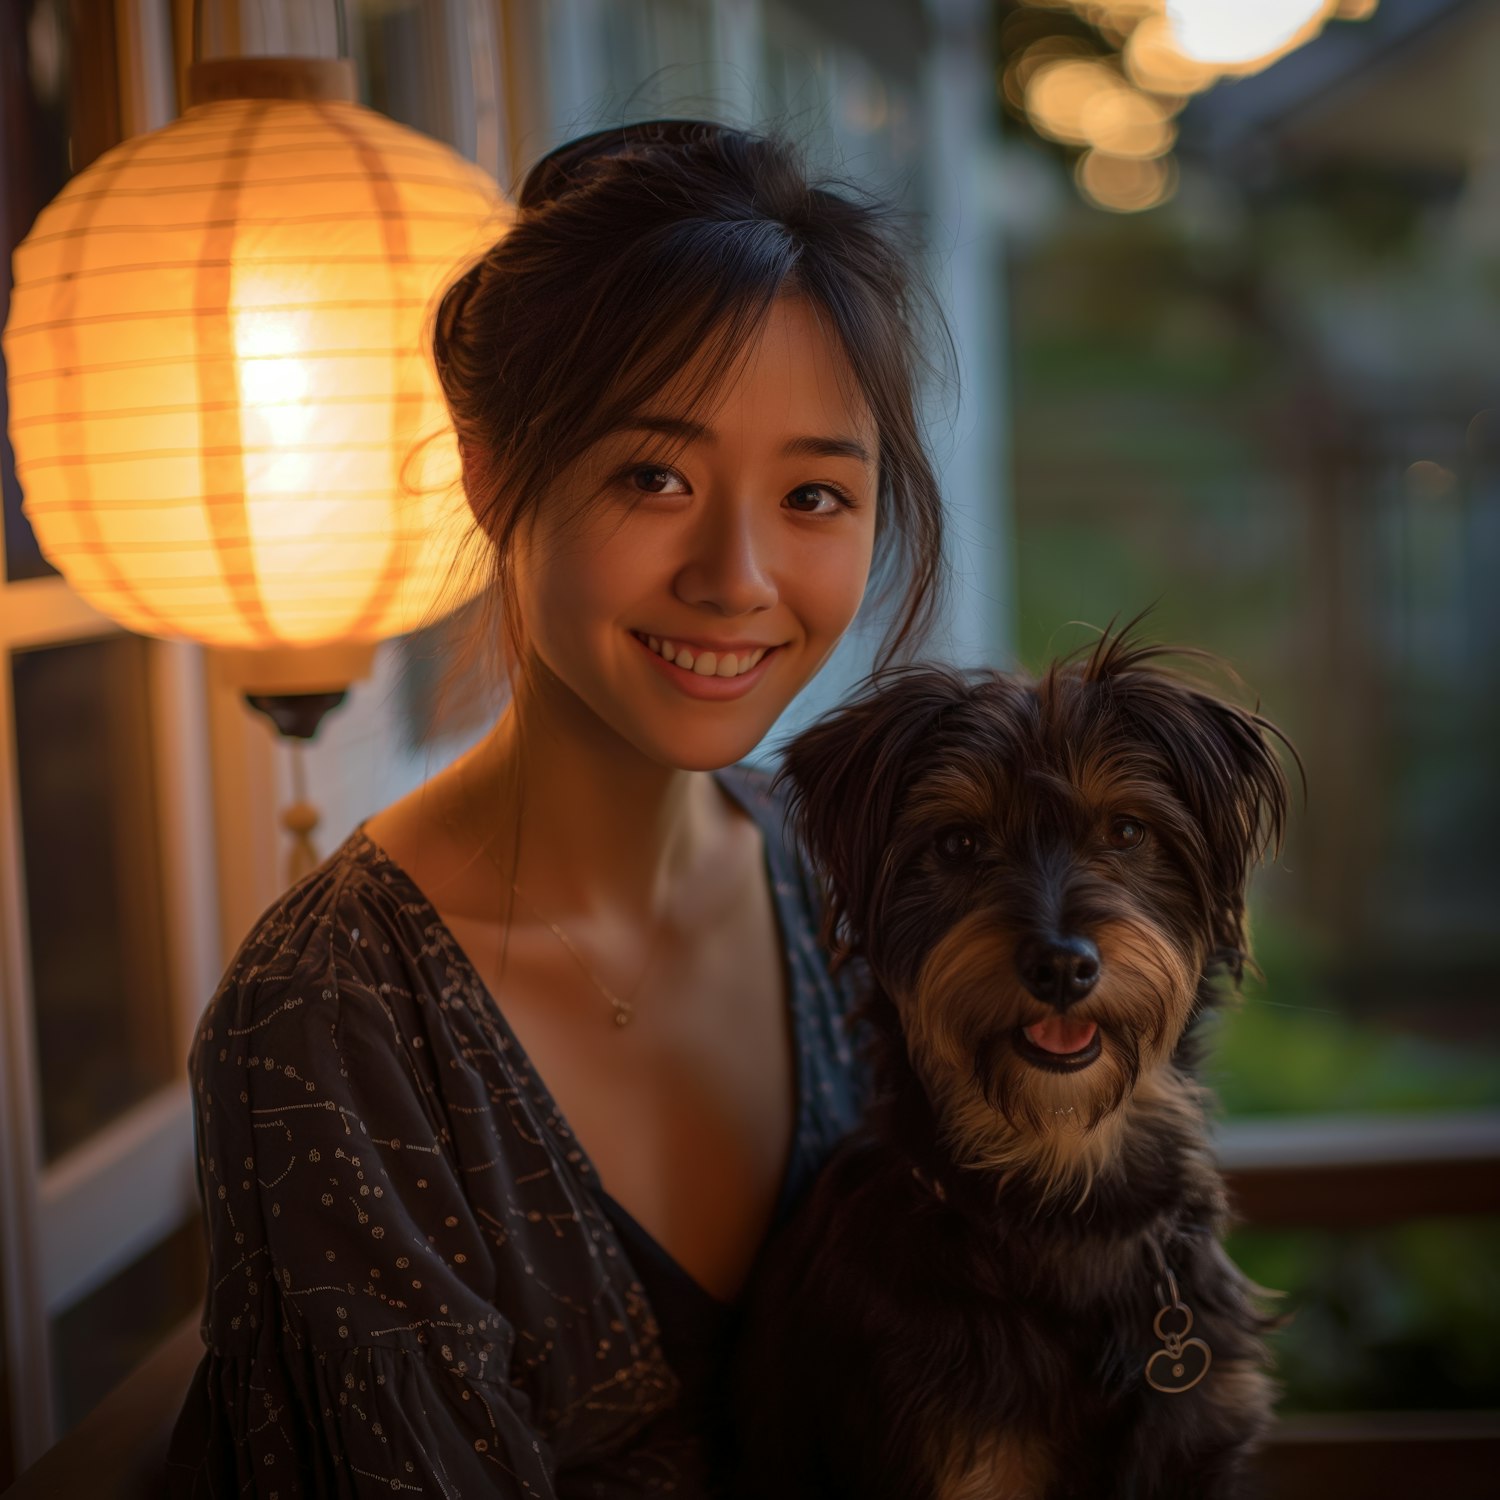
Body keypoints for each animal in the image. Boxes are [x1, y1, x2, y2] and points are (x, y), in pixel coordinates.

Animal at [738, 630, 1302, 1500]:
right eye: (958, 843)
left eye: (1127, 832)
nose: (1061, 966)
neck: (1063, 1190)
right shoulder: (964, 1461)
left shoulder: (1202, 1443)